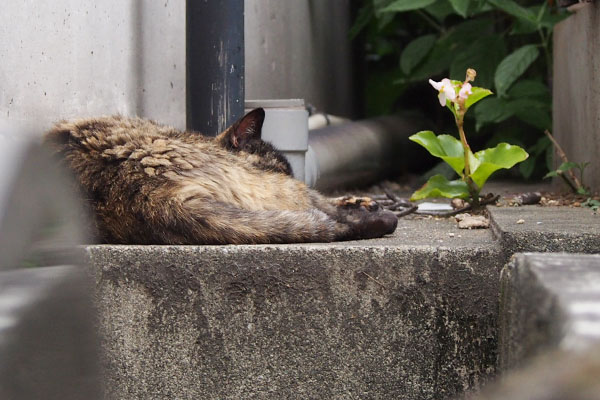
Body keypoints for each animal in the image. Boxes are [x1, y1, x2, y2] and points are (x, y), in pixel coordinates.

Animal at [43, 108, 398, 244]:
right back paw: (376, 216)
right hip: (285, 192)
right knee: (319, 209)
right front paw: (361, 205)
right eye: (278, 166)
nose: (287, 172)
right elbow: (324, 202)